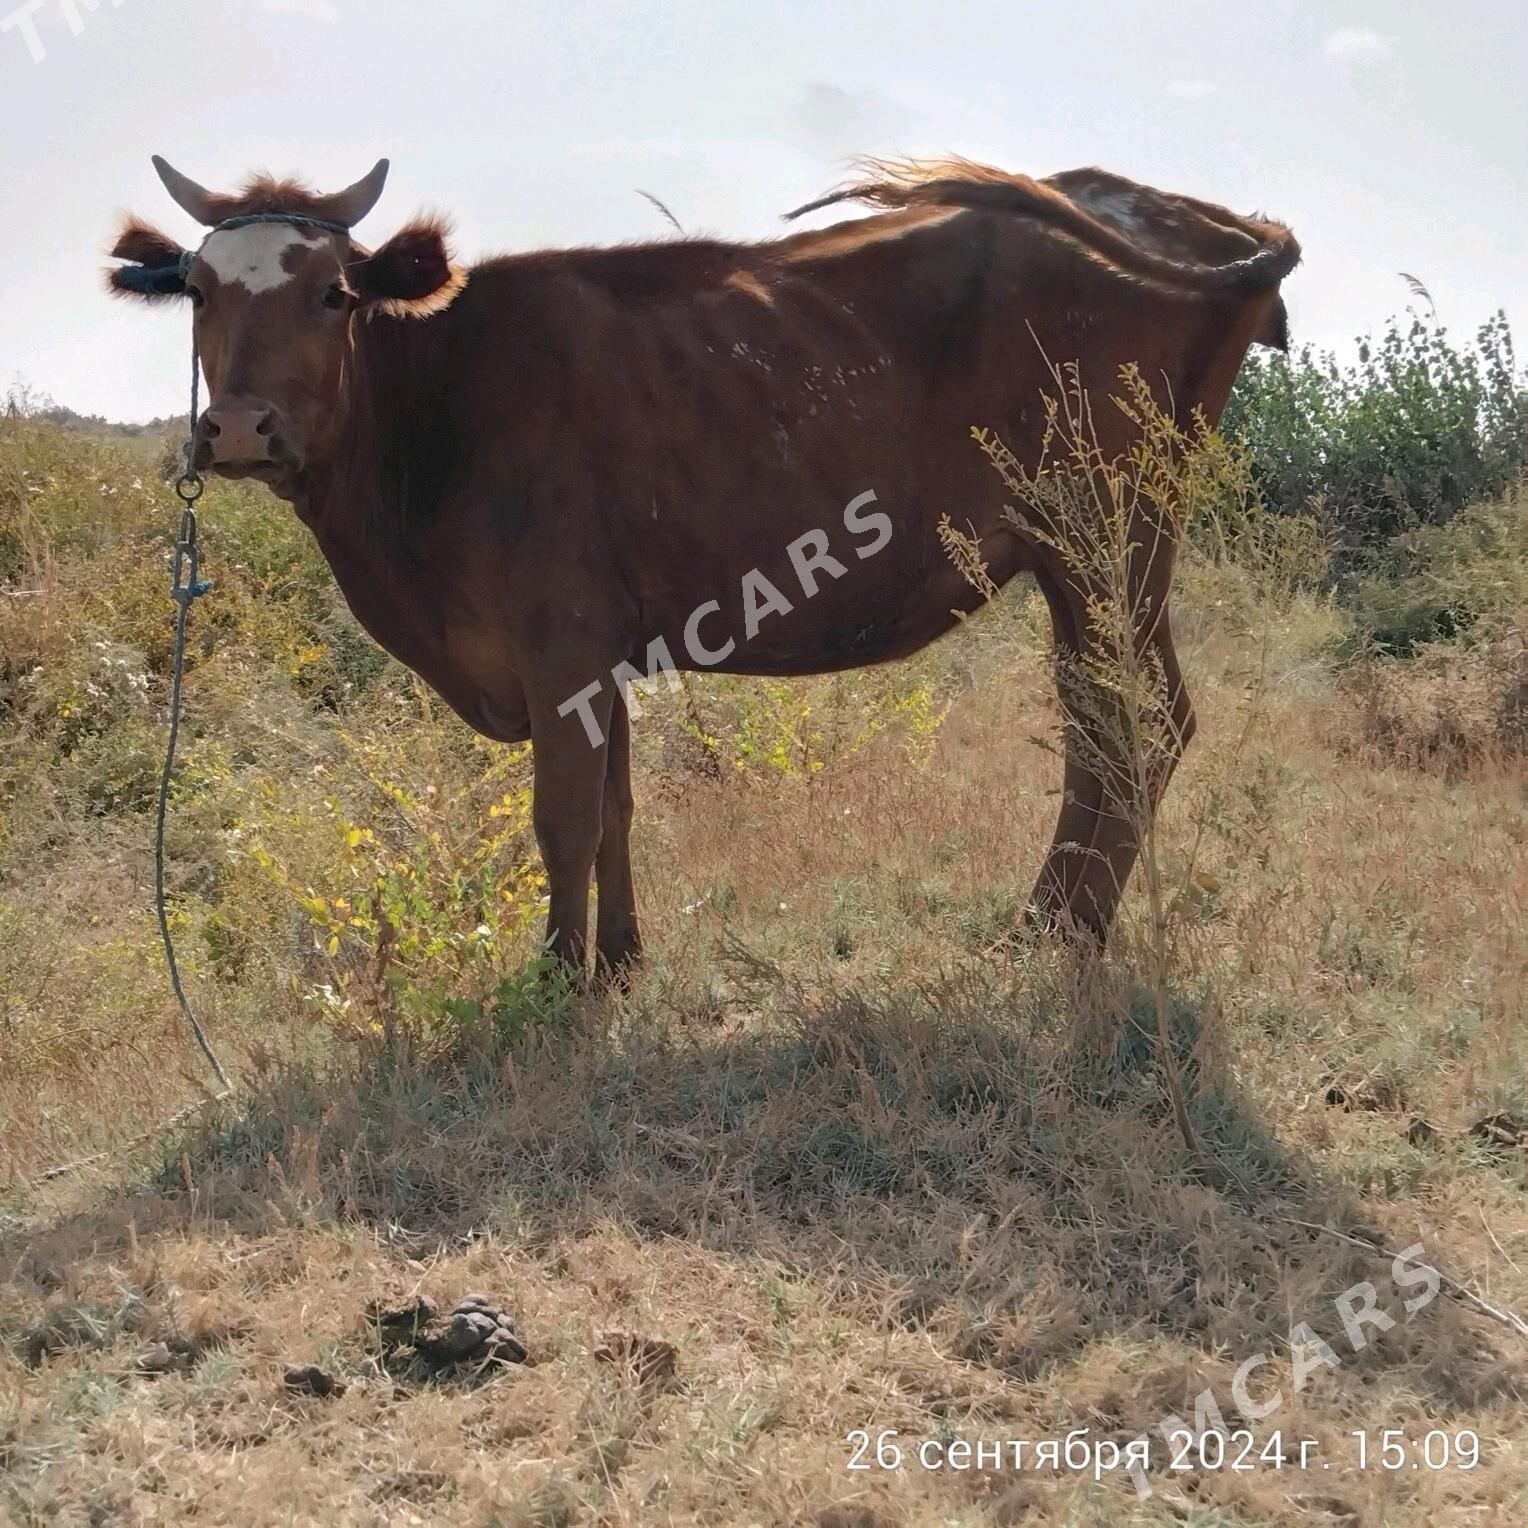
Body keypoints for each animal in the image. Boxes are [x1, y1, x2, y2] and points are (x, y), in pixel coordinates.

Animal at [110, 152, 1301, 977]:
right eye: (201, 293)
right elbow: (618, 807)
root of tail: (1185, 210)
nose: (240, 429)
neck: (435, 408)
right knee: (1108, 720)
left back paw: (1058, 930)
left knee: (1133, 722)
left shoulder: (557, 646)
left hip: (1108, 535)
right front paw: (621, 962)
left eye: (332, 293)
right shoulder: (601, 653)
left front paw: (560, 983)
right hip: (1089, 558)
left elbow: (564, 818)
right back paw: (1054, 923)